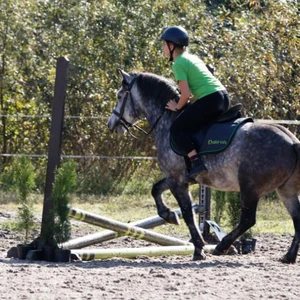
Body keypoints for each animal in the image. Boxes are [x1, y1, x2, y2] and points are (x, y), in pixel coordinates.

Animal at [108, 69, 300, 264]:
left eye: (119, 96)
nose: (111, 125)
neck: (168, 121)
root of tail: (292, 142)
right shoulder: (177, 178)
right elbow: (156, 189)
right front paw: (169, 215)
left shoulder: (177, 181)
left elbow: (187, 214)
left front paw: (199, 249)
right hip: (286, 189)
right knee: (296, 218)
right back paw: (288, 256)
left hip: (250, 188)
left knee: (247, 220)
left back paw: (222, 246)